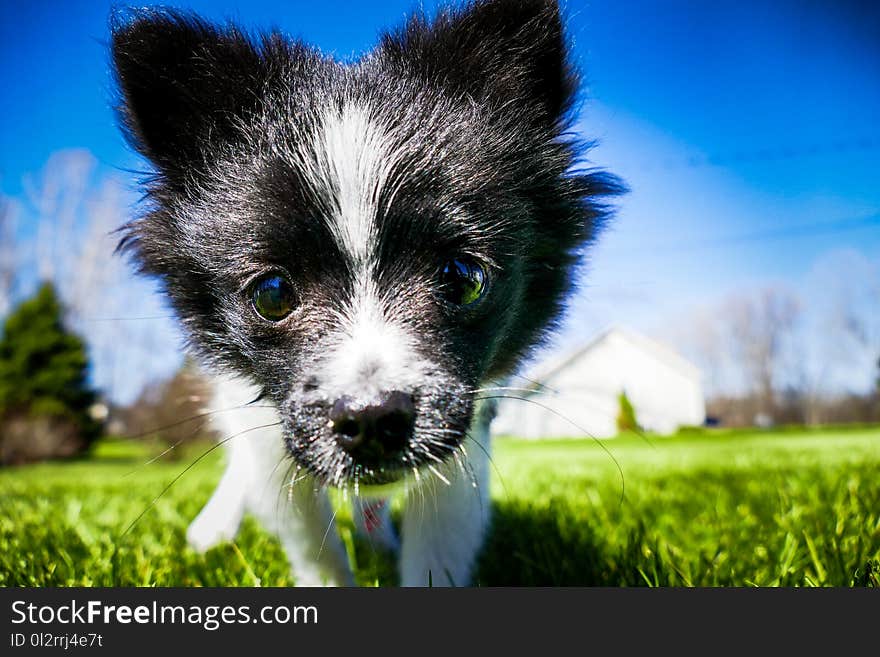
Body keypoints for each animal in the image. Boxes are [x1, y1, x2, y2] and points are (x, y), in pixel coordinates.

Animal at [110, 0, 620, 584]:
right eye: (272, 294)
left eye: (463, 278)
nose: (373, 418)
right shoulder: (267, 424)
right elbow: (311, 542)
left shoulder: (466, 426)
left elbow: (436, 547)